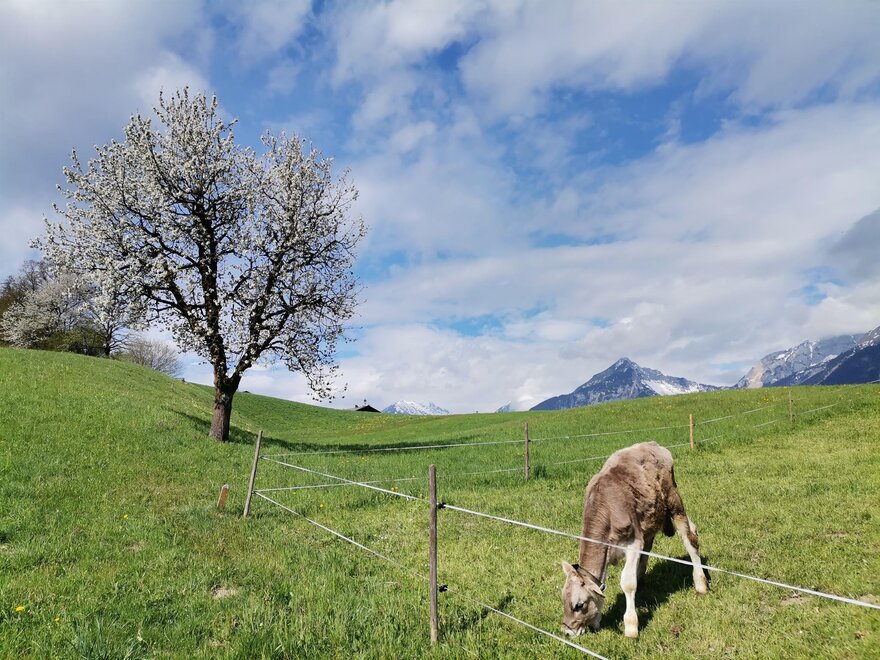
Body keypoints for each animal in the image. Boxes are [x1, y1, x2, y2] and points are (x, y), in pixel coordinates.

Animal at [560, 441, 709, 639]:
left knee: (689, 537)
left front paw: (631, 626)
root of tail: (653, 444)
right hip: (649, 520)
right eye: (562, 600)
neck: (606, 508)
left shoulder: (633, 543)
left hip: (673, 498)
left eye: (579, 605)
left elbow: (627, 583)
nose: (567, 631)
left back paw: (701, 583)